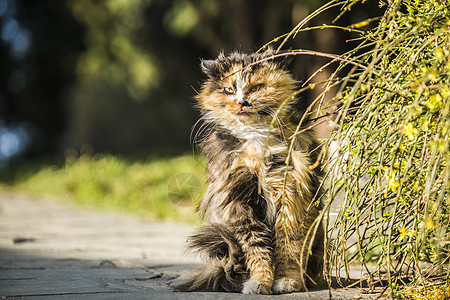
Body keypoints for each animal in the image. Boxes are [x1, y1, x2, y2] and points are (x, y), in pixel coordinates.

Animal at [176, 48, 324, 294]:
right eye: (228, 90)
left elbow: (288, 246)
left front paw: (287, 281)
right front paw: (260, 282)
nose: (241, 102)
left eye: (256, 88)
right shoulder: (239, 200)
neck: (256, 137)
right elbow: (257, 248)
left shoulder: (291, 195)